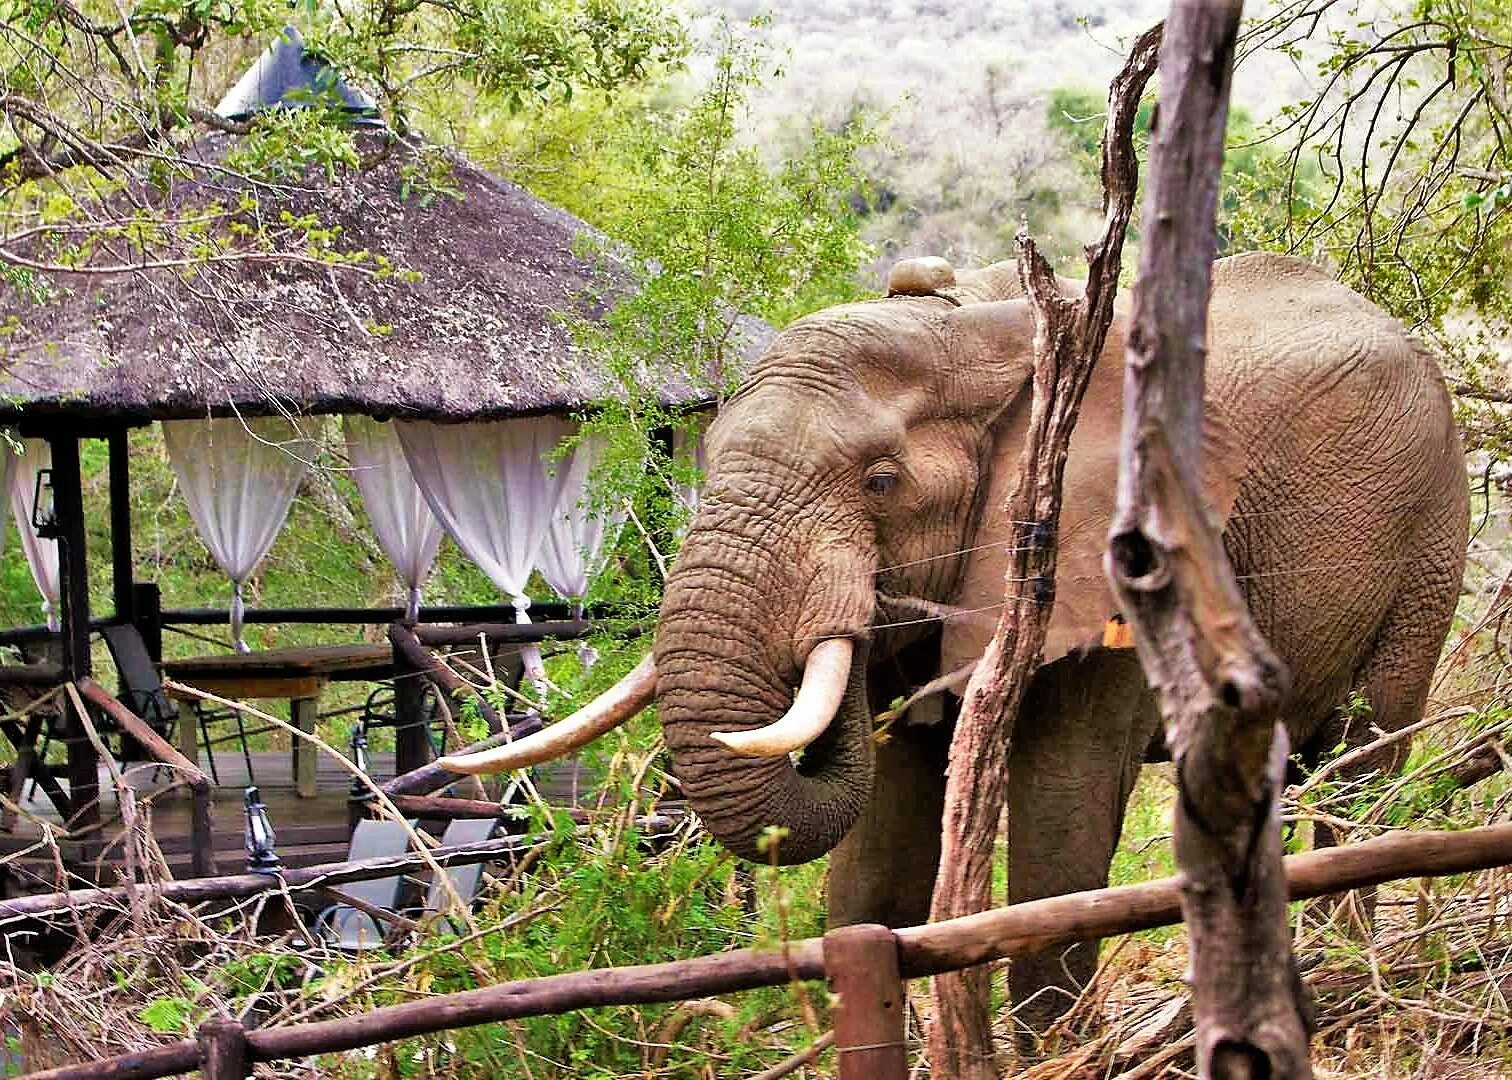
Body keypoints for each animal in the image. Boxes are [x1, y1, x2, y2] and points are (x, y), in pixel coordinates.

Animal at [441, 248, 1463, 1040]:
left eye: (882, 483)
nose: (853, 608)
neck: (979, 330)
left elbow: (1062, 821)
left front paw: (1054, 1051)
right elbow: (875, 853)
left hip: (1427, 542)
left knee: (1364, 761)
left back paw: (1347, 992)